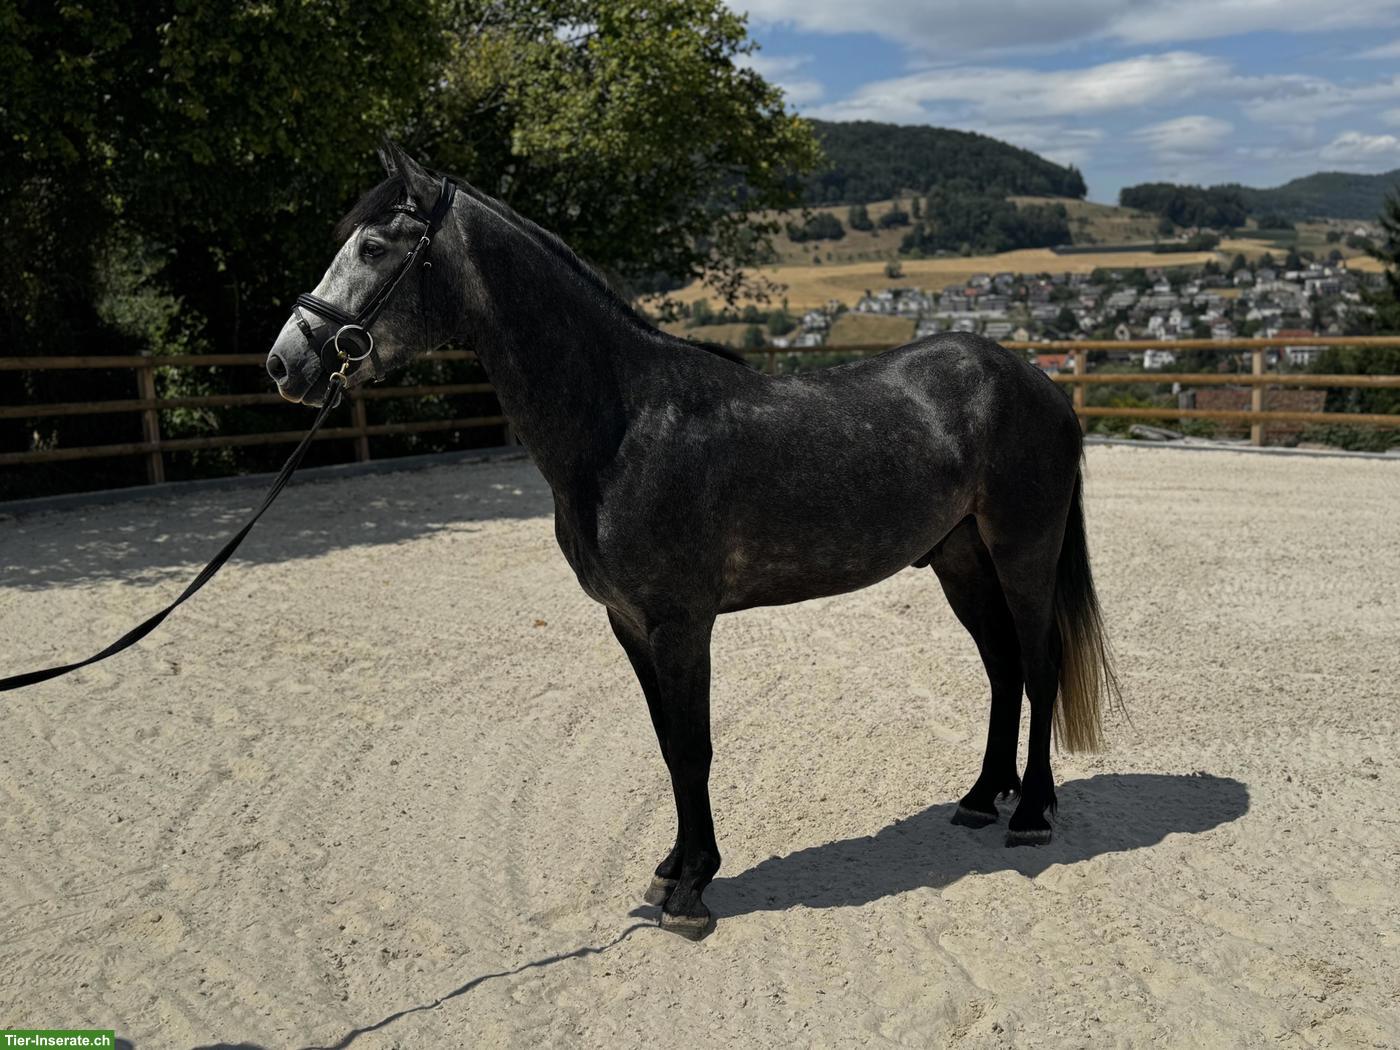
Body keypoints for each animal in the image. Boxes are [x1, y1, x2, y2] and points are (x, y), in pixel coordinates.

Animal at [265, 143, 1121, 940]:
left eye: (375, 246)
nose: (285, 362)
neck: (624, 423)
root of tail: (1036, 382)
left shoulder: (682, 623)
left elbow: (692, 746)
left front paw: (693, 888)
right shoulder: (630, 624)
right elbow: (668, 744)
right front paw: (674, 867)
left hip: (1022, 552)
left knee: (1038, 665)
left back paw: (1031, 813)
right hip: (958, 558)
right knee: (1001, 666)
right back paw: (979, 799)